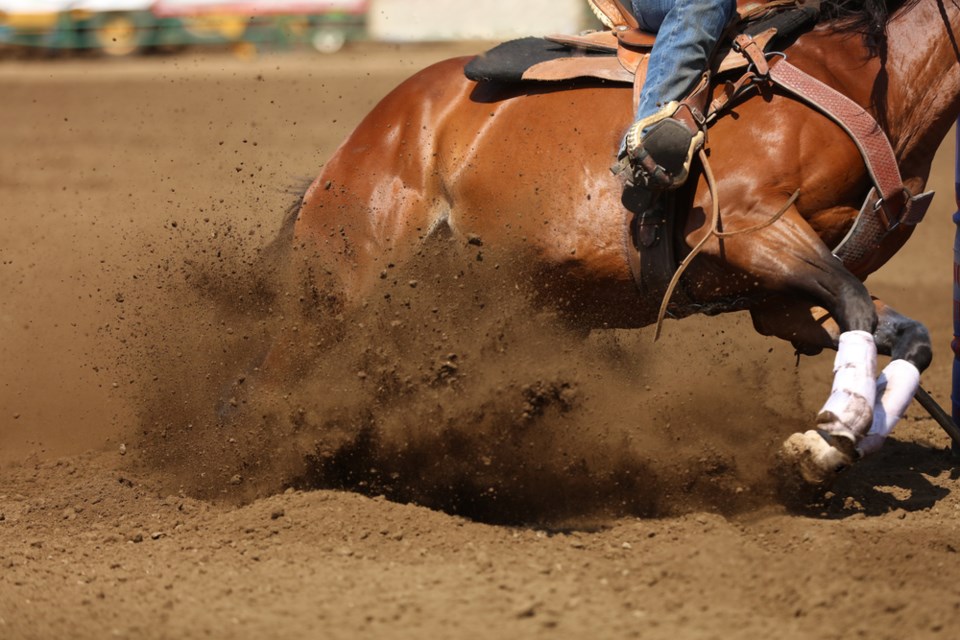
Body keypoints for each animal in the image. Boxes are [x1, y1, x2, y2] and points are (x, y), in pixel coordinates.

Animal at [284, 1, 960, 484]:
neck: (868, 80)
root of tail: (381, 124)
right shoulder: (750, 226)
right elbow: (855, 302)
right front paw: (833, 432)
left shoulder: (778, 299)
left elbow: (907, 335)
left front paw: (844, 437)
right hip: (349, 272)